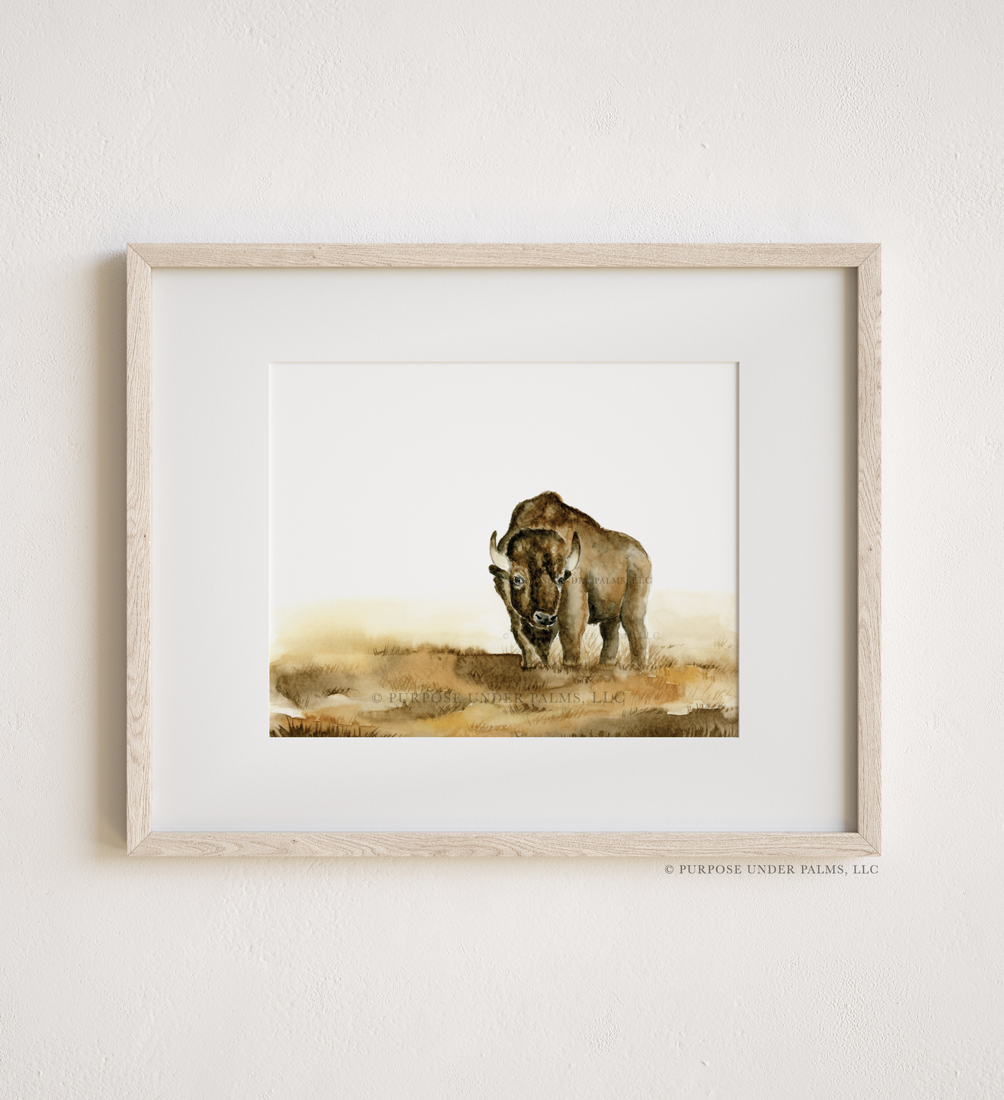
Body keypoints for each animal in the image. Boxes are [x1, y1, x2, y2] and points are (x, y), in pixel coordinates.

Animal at [489, 491, 651, 670]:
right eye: (517, 579)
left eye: (561, 579)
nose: (545, 617)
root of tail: (641, 553)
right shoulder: (512, 608)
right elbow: (521, 634)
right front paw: (532, 664)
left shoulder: (573, 599)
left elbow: (570, 631)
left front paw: (569, 665)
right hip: (610, 611)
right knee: (610, 631)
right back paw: (606, 663)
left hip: (634, 603)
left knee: (634, 627)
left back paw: (637, 666)